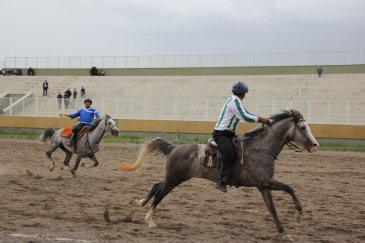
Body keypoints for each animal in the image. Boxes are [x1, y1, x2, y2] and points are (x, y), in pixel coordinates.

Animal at [106, 110, 318, 241]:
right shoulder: (265, 182)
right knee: (160, 192)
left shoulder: (263, 186)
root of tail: (175, 148)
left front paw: (284, 233)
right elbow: (289, 188)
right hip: (175, 179)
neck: (261, 149)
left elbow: (273, 209)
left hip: (174, 178)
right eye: (302, 127)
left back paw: (137, 205)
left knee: (156, 186)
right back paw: (149, 219)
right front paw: (299, 211)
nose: (315, 144)